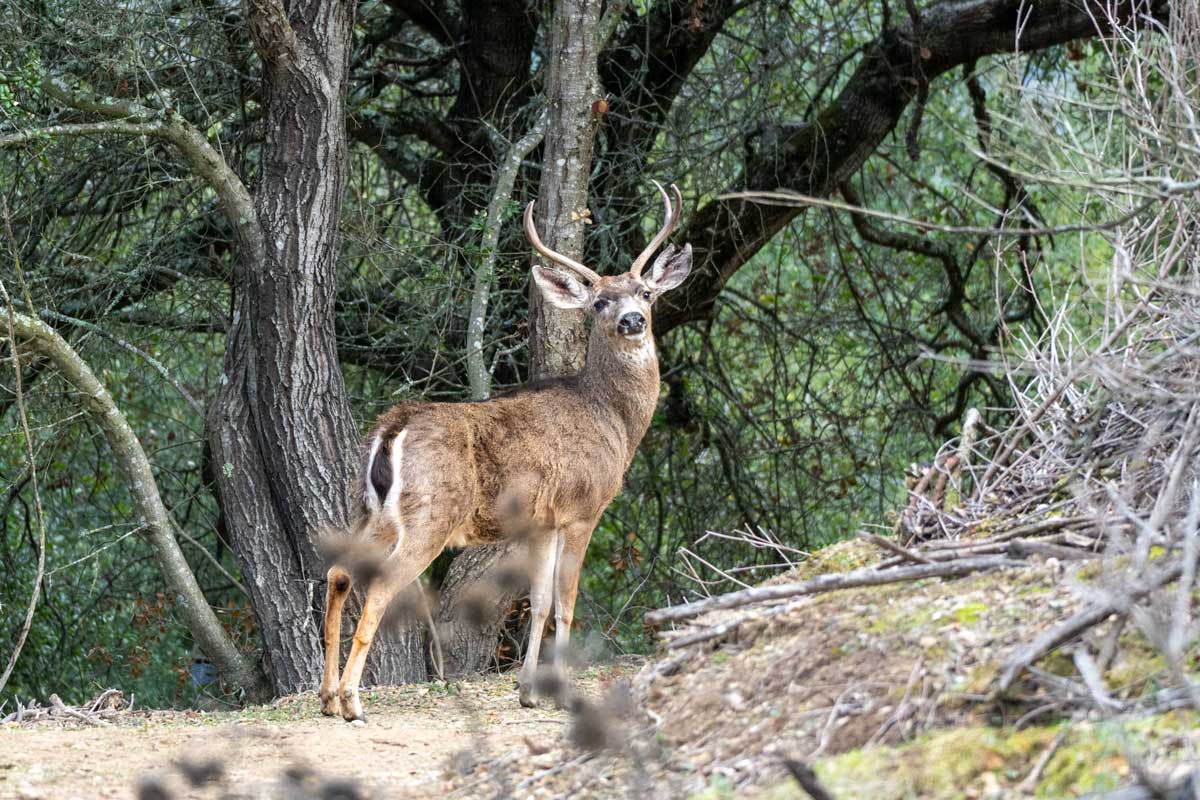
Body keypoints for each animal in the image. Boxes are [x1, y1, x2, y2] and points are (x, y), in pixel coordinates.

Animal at [319, 182, 692, 721]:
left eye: (645, 292)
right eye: (599, 302)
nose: (631, 320)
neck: (614, 421)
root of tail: (393, 428)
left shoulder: (542, 522)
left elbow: (538, 602)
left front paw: (528, 690)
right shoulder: (583, 508)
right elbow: (566, 602)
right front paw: (561, 693)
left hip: (369, 511)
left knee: (338, 572)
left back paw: (327, 698)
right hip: (431, 514)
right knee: (381, 586)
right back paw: (352, 702)